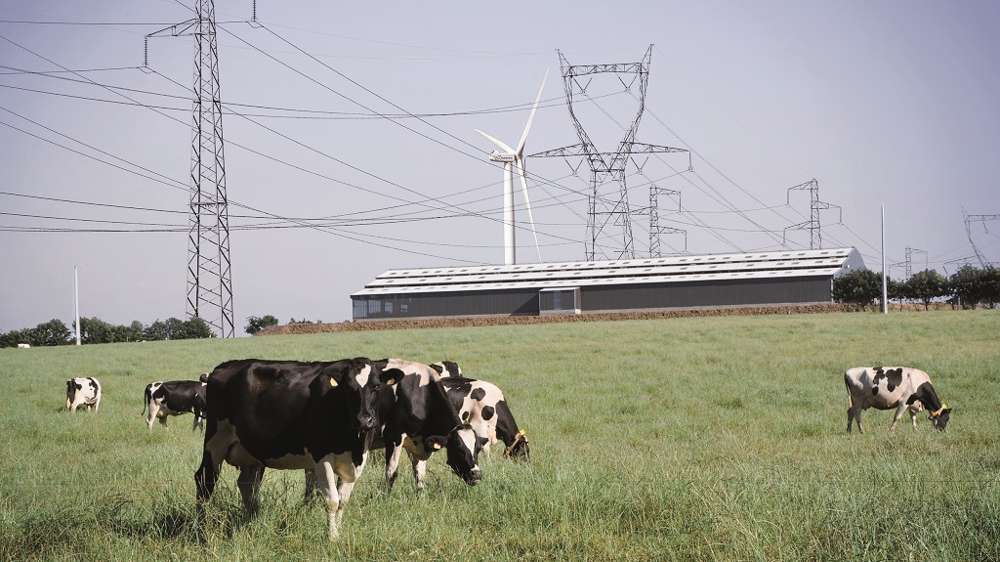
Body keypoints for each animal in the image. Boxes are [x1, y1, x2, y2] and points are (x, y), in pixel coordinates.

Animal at [194, 358, 396, 541]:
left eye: (376, 386)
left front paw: (337, 534)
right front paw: (331, 538)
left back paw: (255, 521)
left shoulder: (357, 462)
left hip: (251, 453)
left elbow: (342, 501)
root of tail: (225, 366)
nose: (364, 420)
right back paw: (203, 531)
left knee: (247, 486)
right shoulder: (321, 455)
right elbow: (332, 500)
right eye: (348, 388)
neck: (353, 444)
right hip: (215, 442)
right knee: (204, 481)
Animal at [374, 358, 486, 492]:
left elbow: (420, 475)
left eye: (478, 449)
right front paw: (386, 495)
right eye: (459, 449)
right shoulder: (393, 435)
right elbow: (391, 473)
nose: (477, 474)